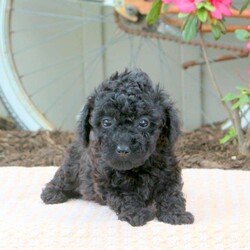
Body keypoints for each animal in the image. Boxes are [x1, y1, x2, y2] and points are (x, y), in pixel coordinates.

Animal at [41, 68, 194, 227]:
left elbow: (171, 194)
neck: (138, 167)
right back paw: (52, 193)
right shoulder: (109, 182)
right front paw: (136, 213)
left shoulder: (169, 172)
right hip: (73, 166)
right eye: (106, 122)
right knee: (64, 177)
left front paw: (176, 214)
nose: (122, 149)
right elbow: (126, 197)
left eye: (143, 122)